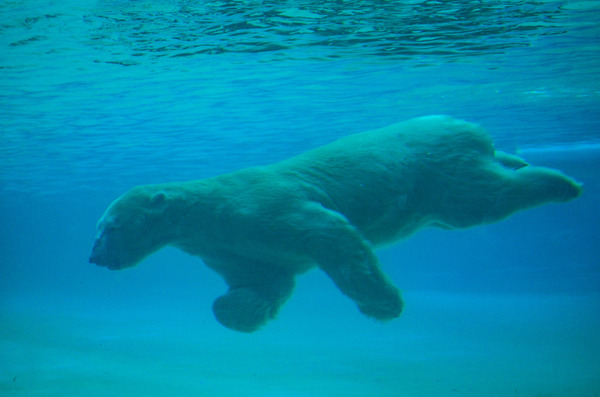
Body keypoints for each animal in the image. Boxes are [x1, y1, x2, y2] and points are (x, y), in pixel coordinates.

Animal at [89, 114, 580, 332]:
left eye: (108, 227)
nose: (93, 258)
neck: (208, 213)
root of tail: (461, 124)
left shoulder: (260, 208)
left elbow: (330, 233)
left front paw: (383, 305)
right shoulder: (232, 246)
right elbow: (265, 280)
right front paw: (234, 309)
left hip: (434, 168)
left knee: (482, 199)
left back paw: (562, 181)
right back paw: (520, 159)